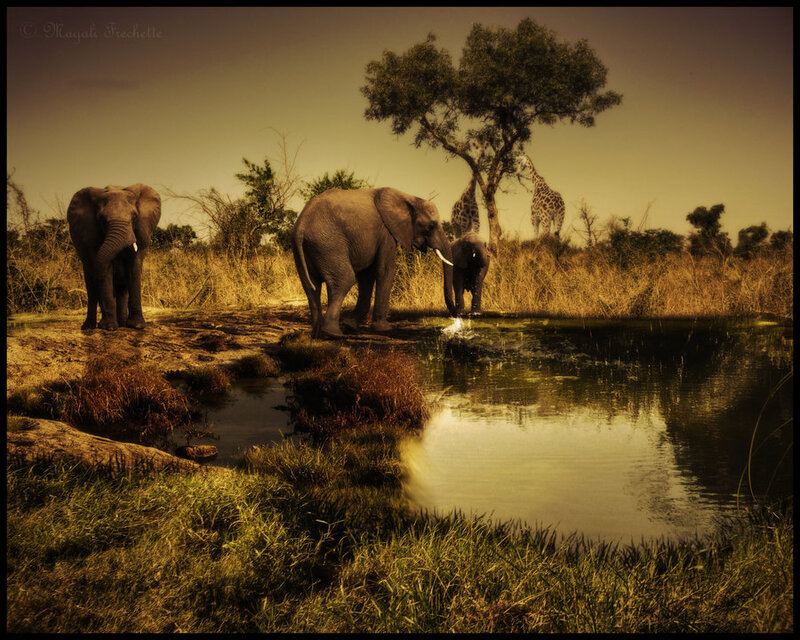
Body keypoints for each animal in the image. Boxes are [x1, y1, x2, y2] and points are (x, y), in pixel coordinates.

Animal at [67, 184, 161, 331]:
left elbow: (134, 266)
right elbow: (106, 269)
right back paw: (89, 327)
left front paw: (137, 326)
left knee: (122, 291)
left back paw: (122, 324)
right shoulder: (92, 236)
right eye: (101, 220)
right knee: (92, 289)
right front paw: (109, 328)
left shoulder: (141, 231)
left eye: (134, 217)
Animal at [291, 187, 456, 338]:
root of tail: (301, 226)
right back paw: (333, 333)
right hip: (329, 244)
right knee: (345, 280)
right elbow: (386, 270)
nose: (456, 315)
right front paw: (384, 328)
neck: (409, 197)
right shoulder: (386, 232)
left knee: (311, 286)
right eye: (431, 226)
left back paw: (316, 335)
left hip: (308, 249)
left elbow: (367, 275)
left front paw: (351, 325)